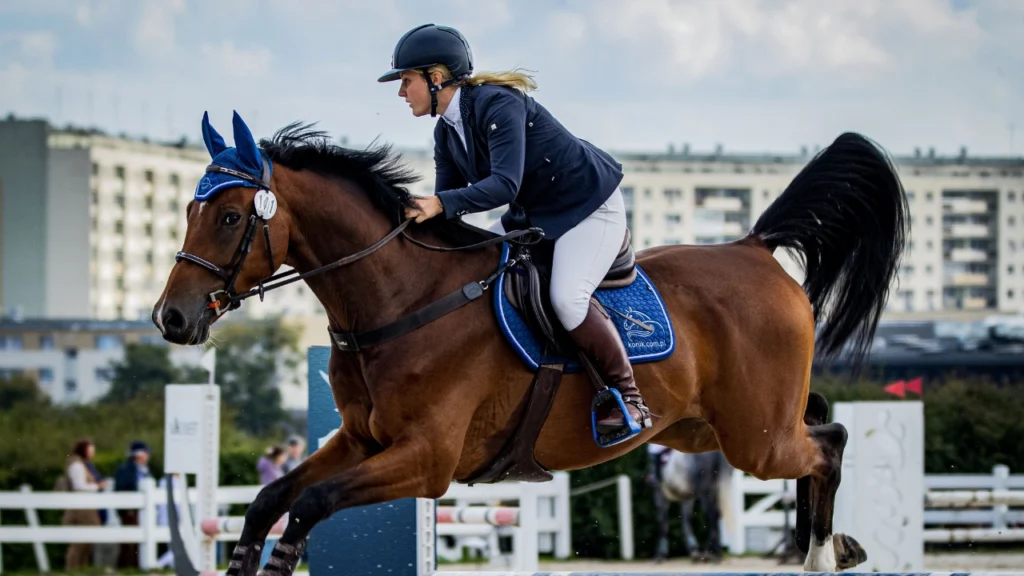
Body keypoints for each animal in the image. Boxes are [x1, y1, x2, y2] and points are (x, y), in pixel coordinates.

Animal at [152, 111, 907, 575]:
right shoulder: (360, 442)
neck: (399, 300)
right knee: (817, 422)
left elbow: (309, 504)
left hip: (753, 438)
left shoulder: (425, 460)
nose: (172, 320)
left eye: (229, 216)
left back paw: (820, 554)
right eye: (187, 208)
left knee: (828, 443)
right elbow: (267, 501)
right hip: (705, 428)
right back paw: (833, 545)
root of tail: (753, 248)